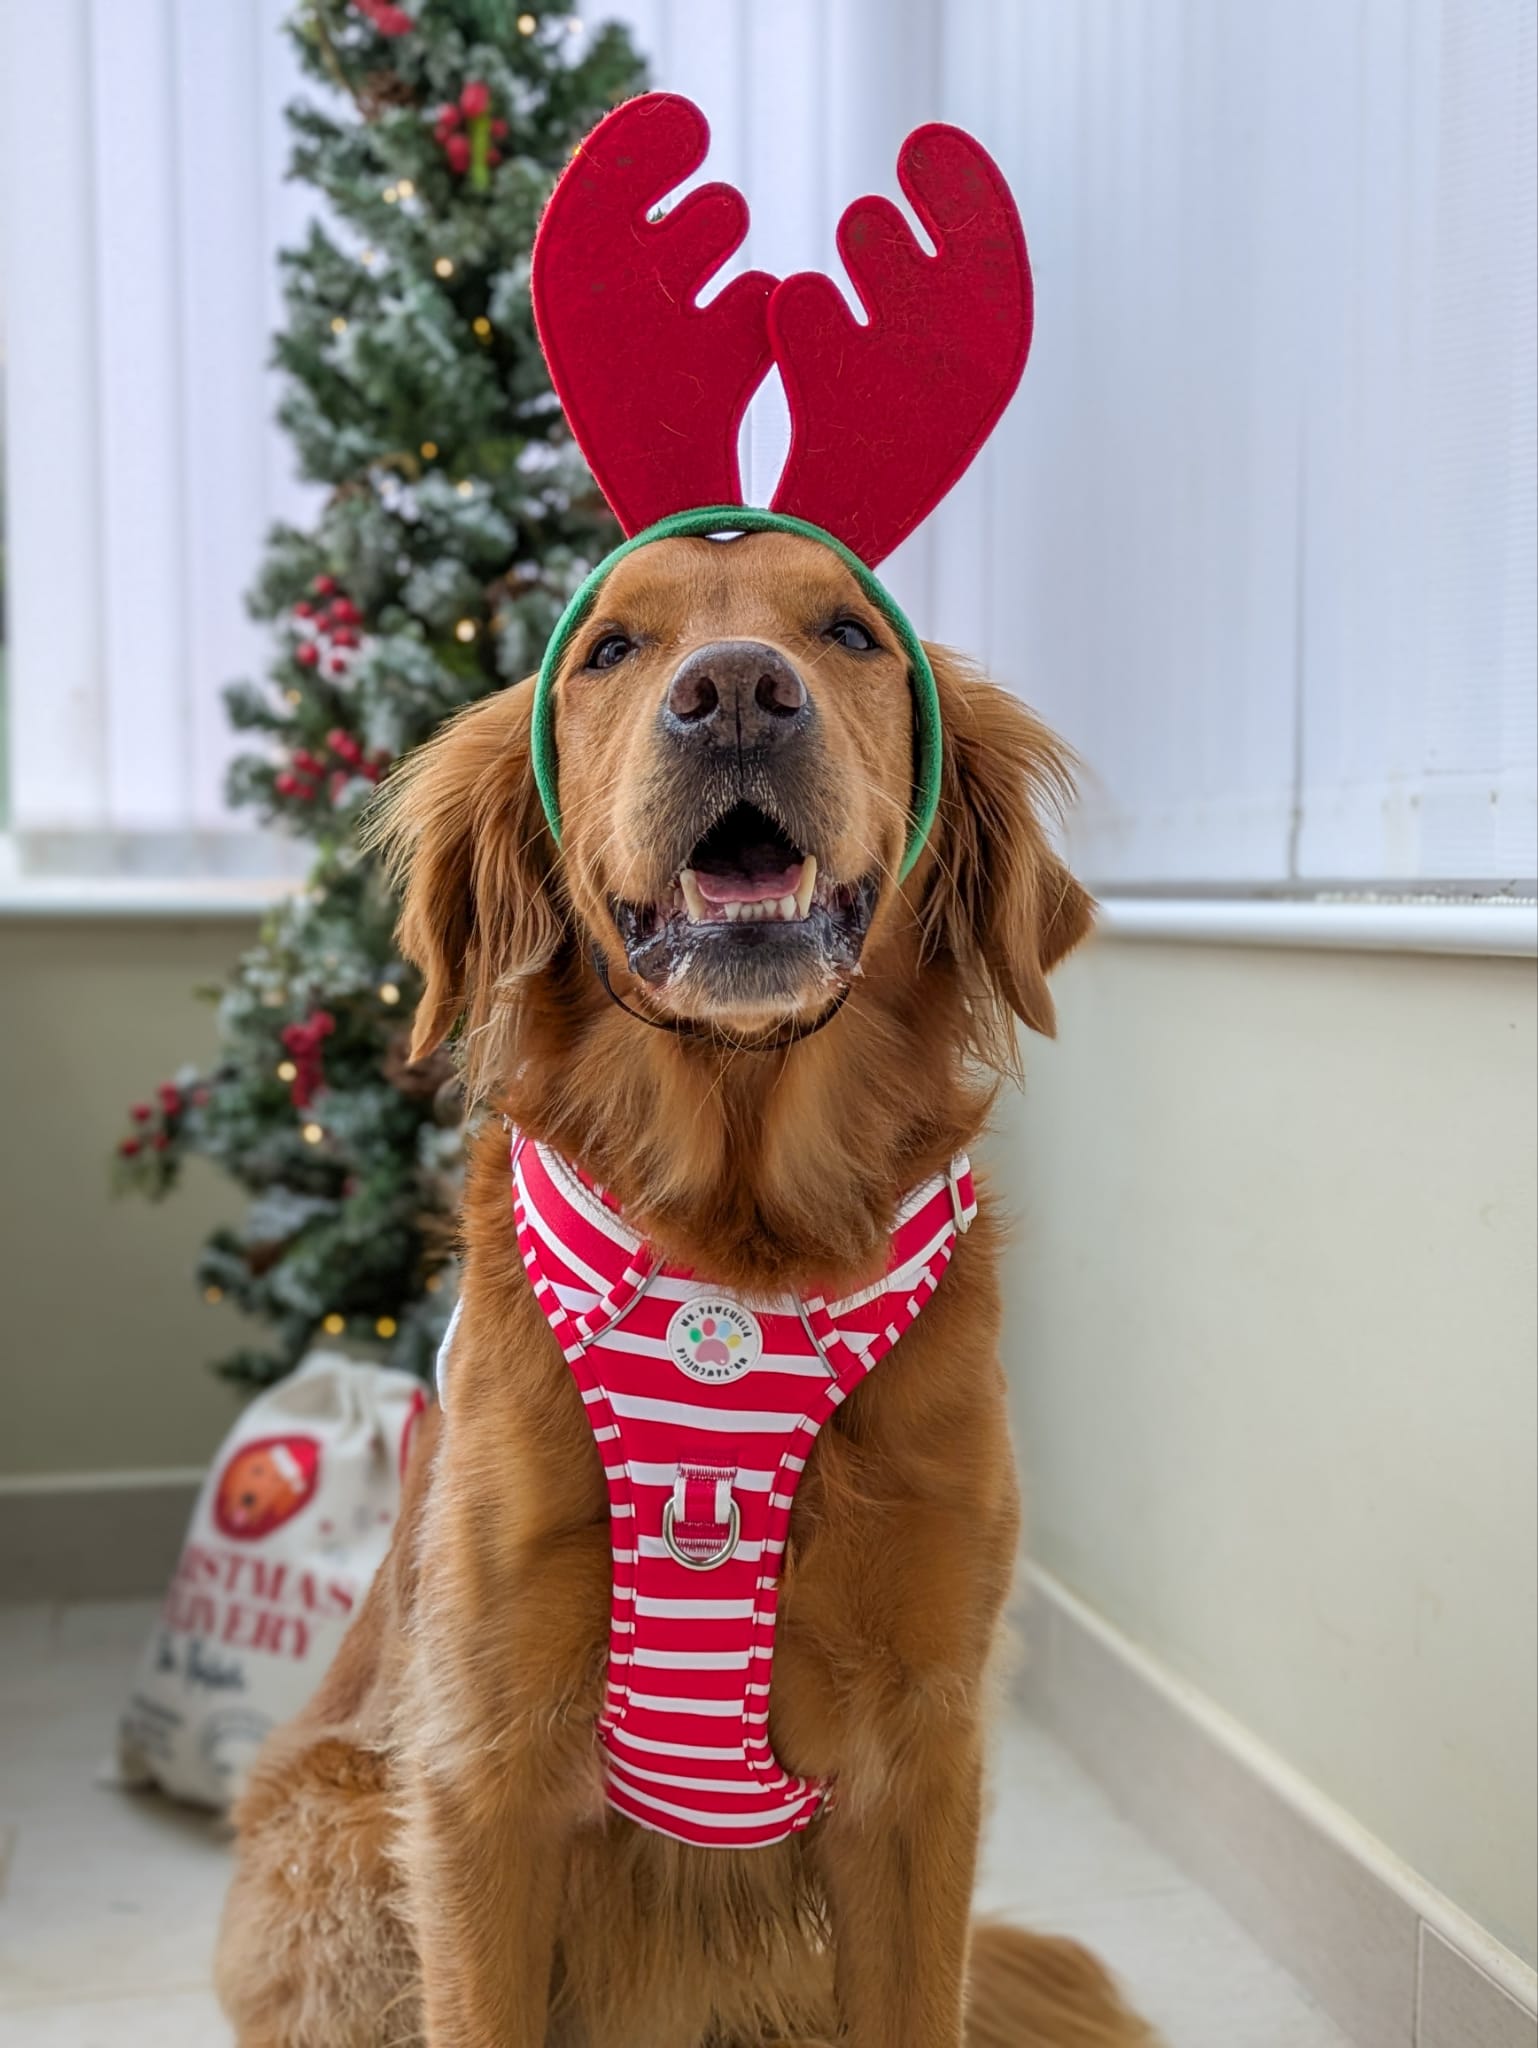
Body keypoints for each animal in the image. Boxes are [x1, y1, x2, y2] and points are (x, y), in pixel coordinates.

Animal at [214, 527, 1154, 2048]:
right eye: (609, 649)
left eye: (847, 633)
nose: (734, 697)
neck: (739, 1239)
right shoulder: (481, 1770)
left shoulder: (922, 1759)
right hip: (336, 1860)